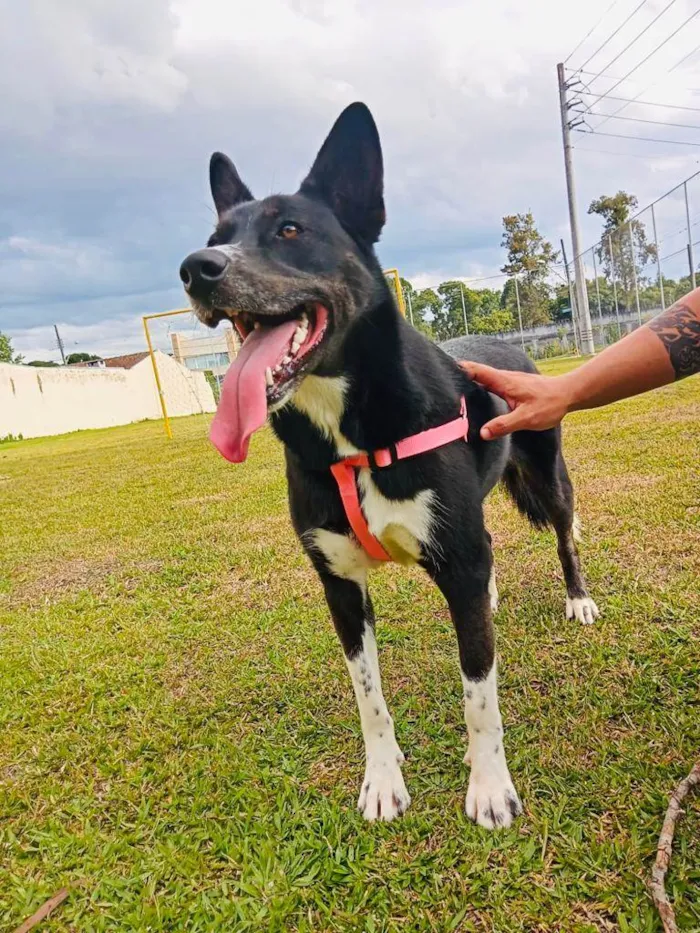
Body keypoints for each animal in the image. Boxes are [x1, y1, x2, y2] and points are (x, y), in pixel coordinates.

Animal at [179, 104, 596, 832]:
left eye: (291, 230)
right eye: (215, 237)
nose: (195, 267)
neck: (351, 431)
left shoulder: (457, 558)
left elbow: (479, 696)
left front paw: (490, 787)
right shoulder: (340, 583)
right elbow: (368, 695)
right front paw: (382, 781)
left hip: (549, 475)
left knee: (565, 535)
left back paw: (576, 597)